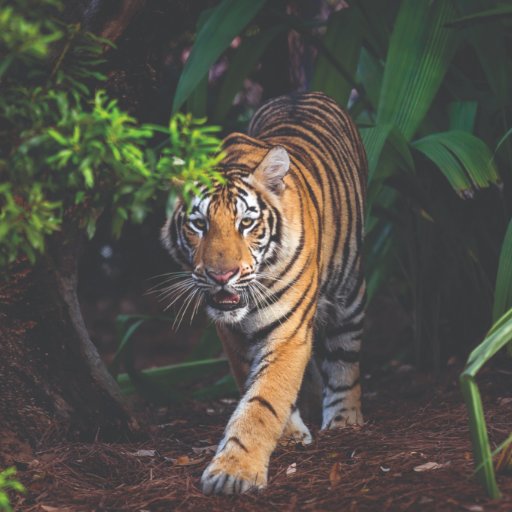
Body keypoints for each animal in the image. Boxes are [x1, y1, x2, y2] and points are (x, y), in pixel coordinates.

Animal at [162, 92, 366, 496]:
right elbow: (256, 385)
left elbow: (263, 400)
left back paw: (345, 420)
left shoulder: (288, 330)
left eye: (246, 223)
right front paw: (288, 434)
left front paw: (234, 472)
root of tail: (300, 93)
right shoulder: (232, 333)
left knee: (345, 354)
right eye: (199, 224)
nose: (221, 275)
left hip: (350, 289)